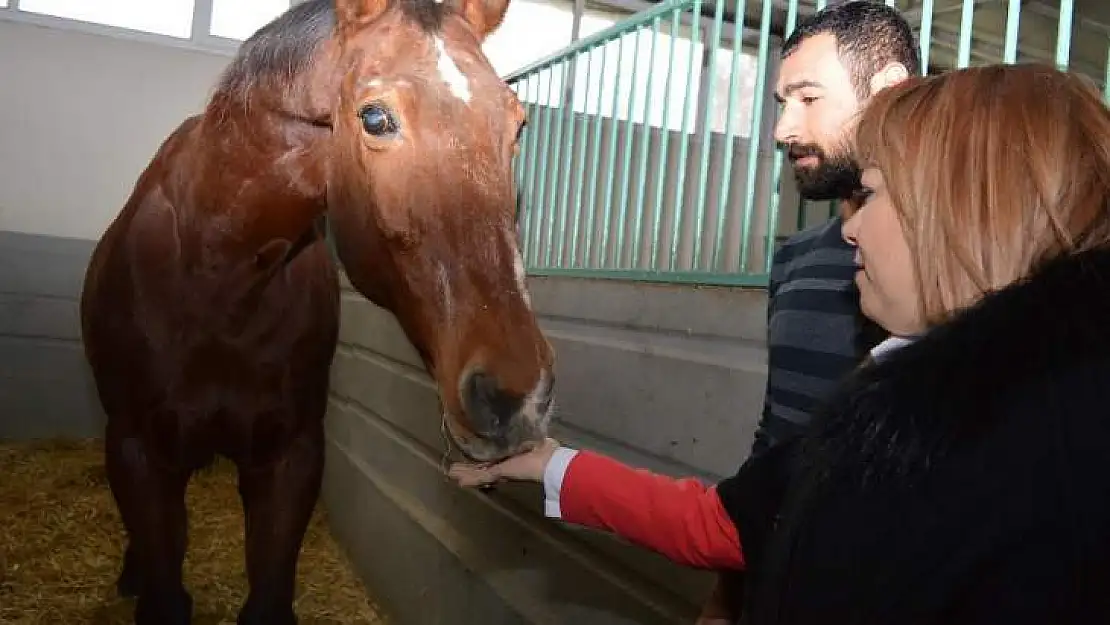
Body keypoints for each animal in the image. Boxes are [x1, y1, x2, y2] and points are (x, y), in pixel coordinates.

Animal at [76, 0, 552, 621]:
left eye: (517, 125)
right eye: (374, 119)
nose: (520, 397)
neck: (221, 279)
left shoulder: (292, 455)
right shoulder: (138, 451)